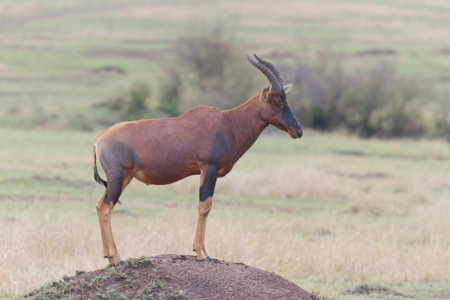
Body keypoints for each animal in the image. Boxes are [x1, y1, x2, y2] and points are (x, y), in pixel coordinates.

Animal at [91, 54, 302, 264]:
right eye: (276, 99)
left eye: (285, 98)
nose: (298, 131)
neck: (227, 122)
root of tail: (99, 139)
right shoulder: (208, 168)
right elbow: (204, 206)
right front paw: (201, 253)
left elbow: (206, 206)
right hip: (119, 178)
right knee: (106, 208)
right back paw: (117, 258)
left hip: (120, 179)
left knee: (100, 206)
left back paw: (109, 256)